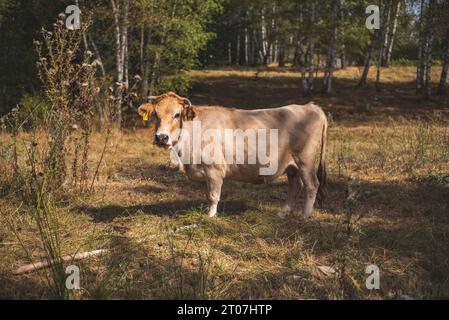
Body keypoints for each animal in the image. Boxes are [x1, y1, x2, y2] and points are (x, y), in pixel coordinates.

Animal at [136, 91, 326, 219]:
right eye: (155, 114)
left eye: (177, 114)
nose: (161, 137)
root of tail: (310, 106)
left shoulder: (215, 170)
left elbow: (213, 196)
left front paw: (210, 216)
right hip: (291, 165)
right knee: (295, 186)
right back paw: (283, 212)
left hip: (306, 160)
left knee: (312, 185)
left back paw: (304, 217)